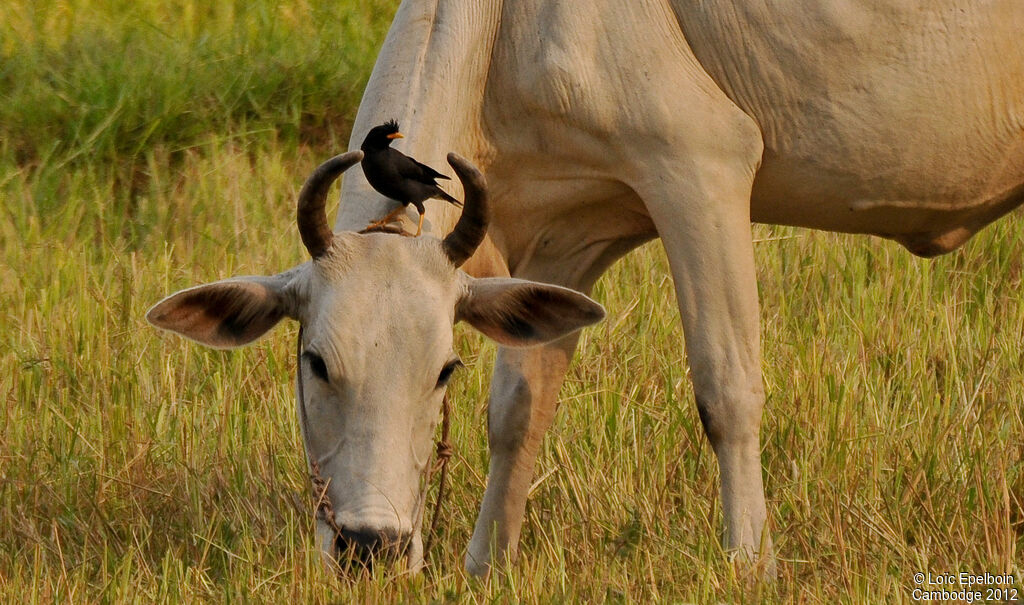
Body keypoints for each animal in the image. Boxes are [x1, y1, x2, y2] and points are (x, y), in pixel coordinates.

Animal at [149, 0, 1024, 577]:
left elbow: (727, 389)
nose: (373, 545)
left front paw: (750, 564)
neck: (505, 26)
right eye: (316, 363)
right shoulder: (566, 239)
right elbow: (518, 410)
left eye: (441, 370)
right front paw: (483, 567)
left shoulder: (698, 166)